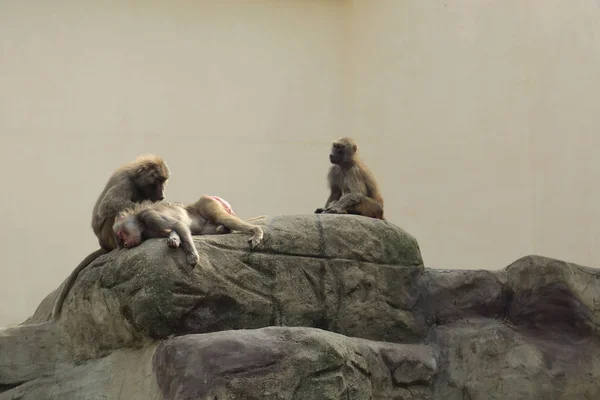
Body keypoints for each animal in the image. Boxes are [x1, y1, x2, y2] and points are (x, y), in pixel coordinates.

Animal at [51, 155, 171, 320]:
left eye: (163, 181)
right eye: (157, 180)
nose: (162, 195)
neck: (135, 180)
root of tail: (103, 244)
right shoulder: (124, 182)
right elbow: (110, 204)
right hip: (107, 235)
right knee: (114, 212)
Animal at [112, 194, 262, 266]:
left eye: (121, 234)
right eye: (121, 240)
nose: (126, 244)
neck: (141, 223)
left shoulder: (149, 215)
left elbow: (178, 225)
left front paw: (193, 256)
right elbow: (176, 229)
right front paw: (174, 239)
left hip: (207, 203)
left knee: (223, 218)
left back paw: (257, 231)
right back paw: (223, 229)